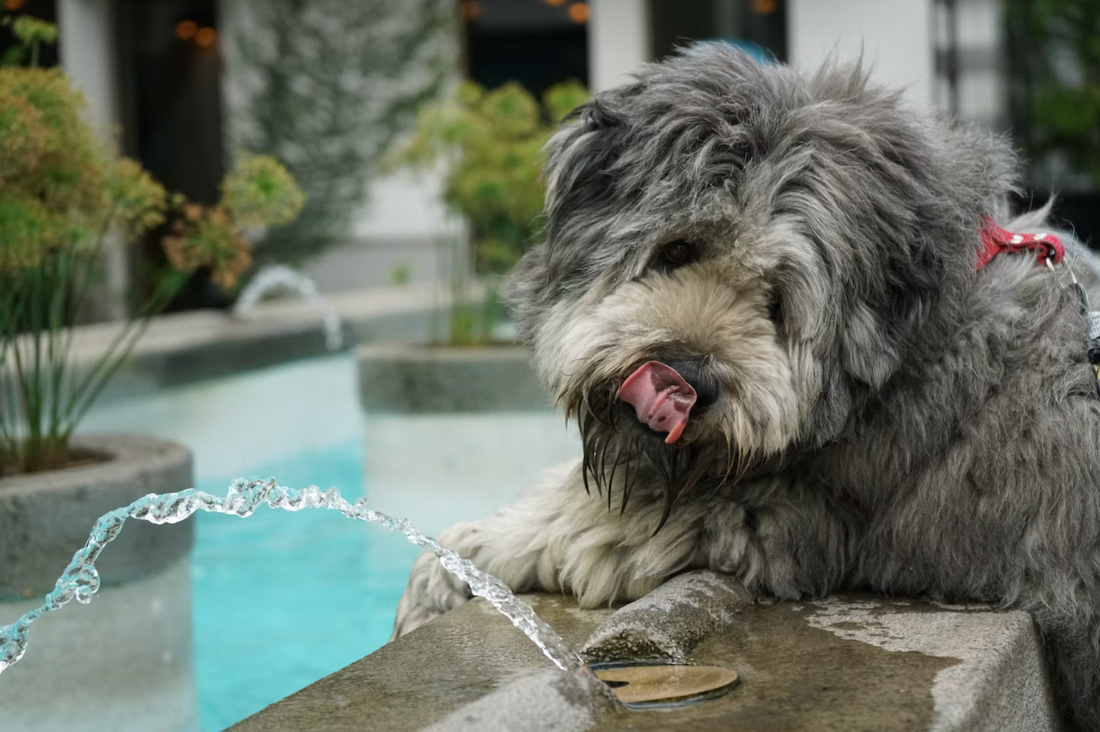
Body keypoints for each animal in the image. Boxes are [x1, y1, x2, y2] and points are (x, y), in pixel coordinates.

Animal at [396, 44, 1100, 726]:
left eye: (777, 301)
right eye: (677, 249)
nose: (685, 379)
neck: (907, 352)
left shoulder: (775, 514)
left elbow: (575, 522)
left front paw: (449, 562)